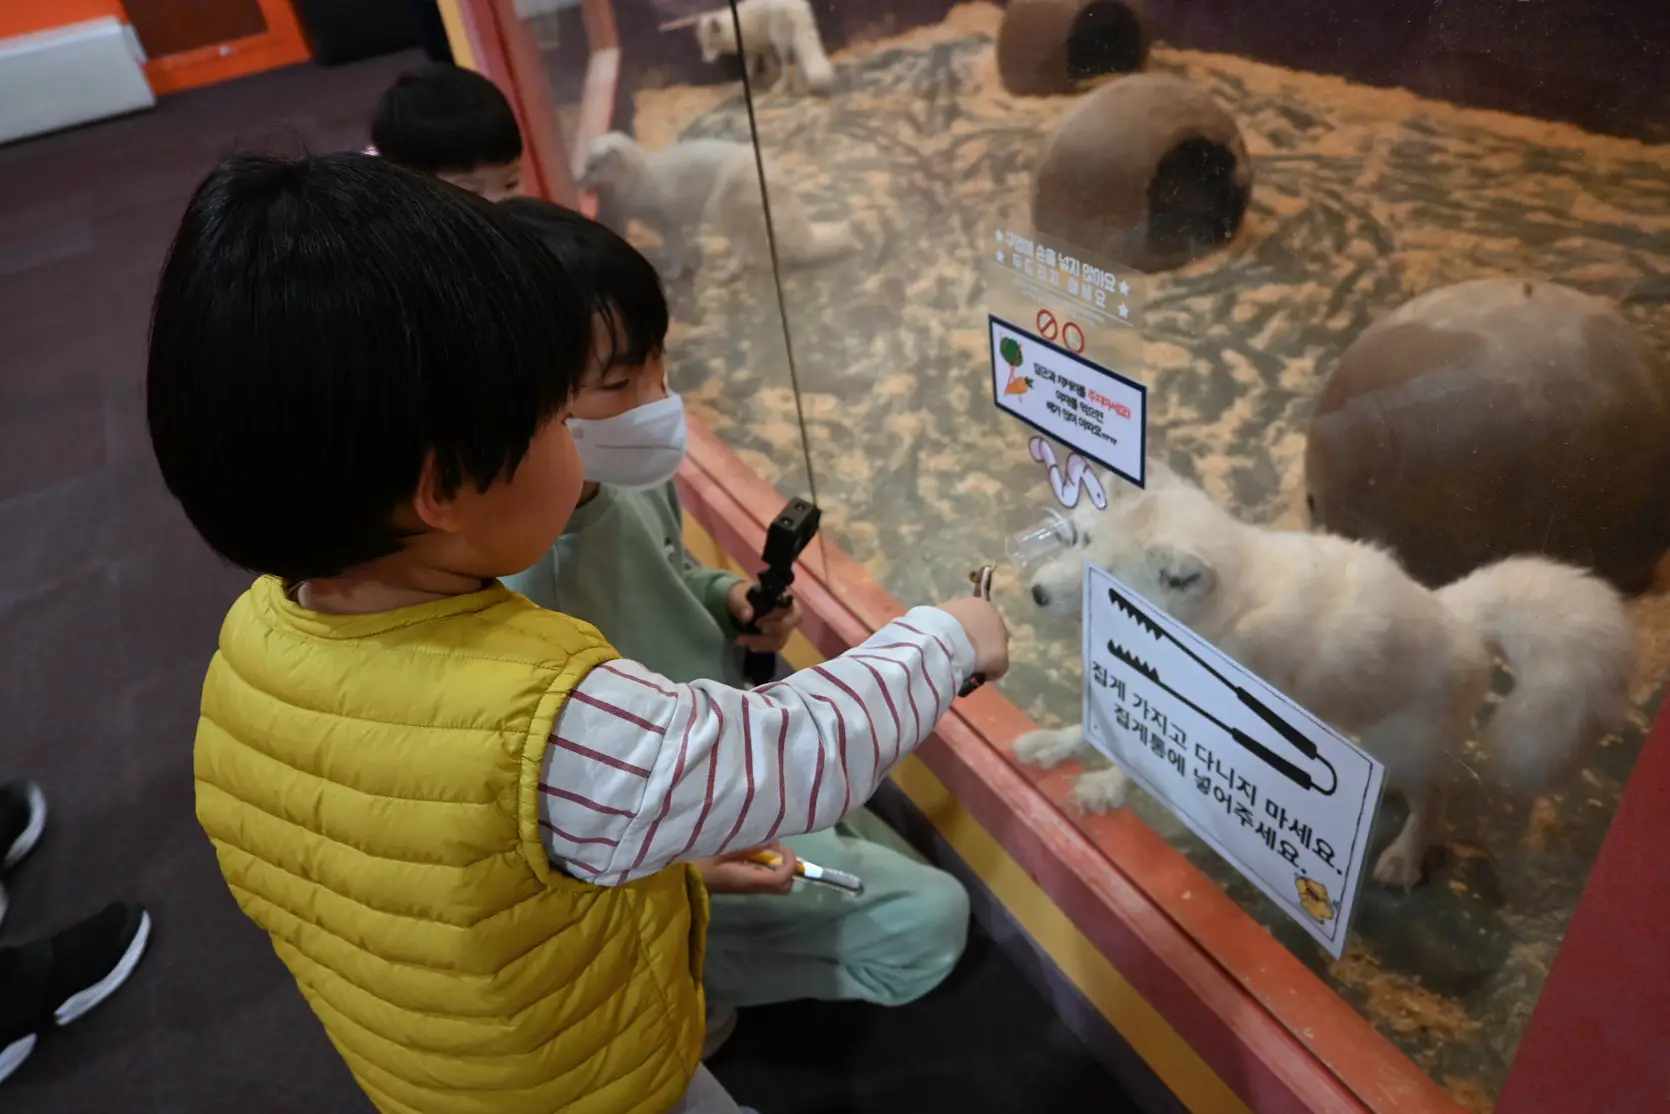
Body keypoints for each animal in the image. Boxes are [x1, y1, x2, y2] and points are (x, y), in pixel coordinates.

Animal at [581, 132, 855, 280]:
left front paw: (672, 274)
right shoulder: (672, 226)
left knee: (741, 245)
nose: (577, 179)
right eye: (585, 164)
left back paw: (728, 273)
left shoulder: (667, 225)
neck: (637, 175)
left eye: (592, 166)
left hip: (717, 211)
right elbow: (679, 249)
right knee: (751, 243)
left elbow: (675, 252)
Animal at [1008, 460, 1636, 888]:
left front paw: (1106, 786)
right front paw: (1056, 744)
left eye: (1107, 579)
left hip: (1406, 744)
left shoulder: (1219, 726)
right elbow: (1094, 725)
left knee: (1435, 799)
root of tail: (1457, 616)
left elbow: (1144, 760)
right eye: (1081, 541)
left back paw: (1405, 857)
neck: (1216, 619)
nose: (1035, 593)